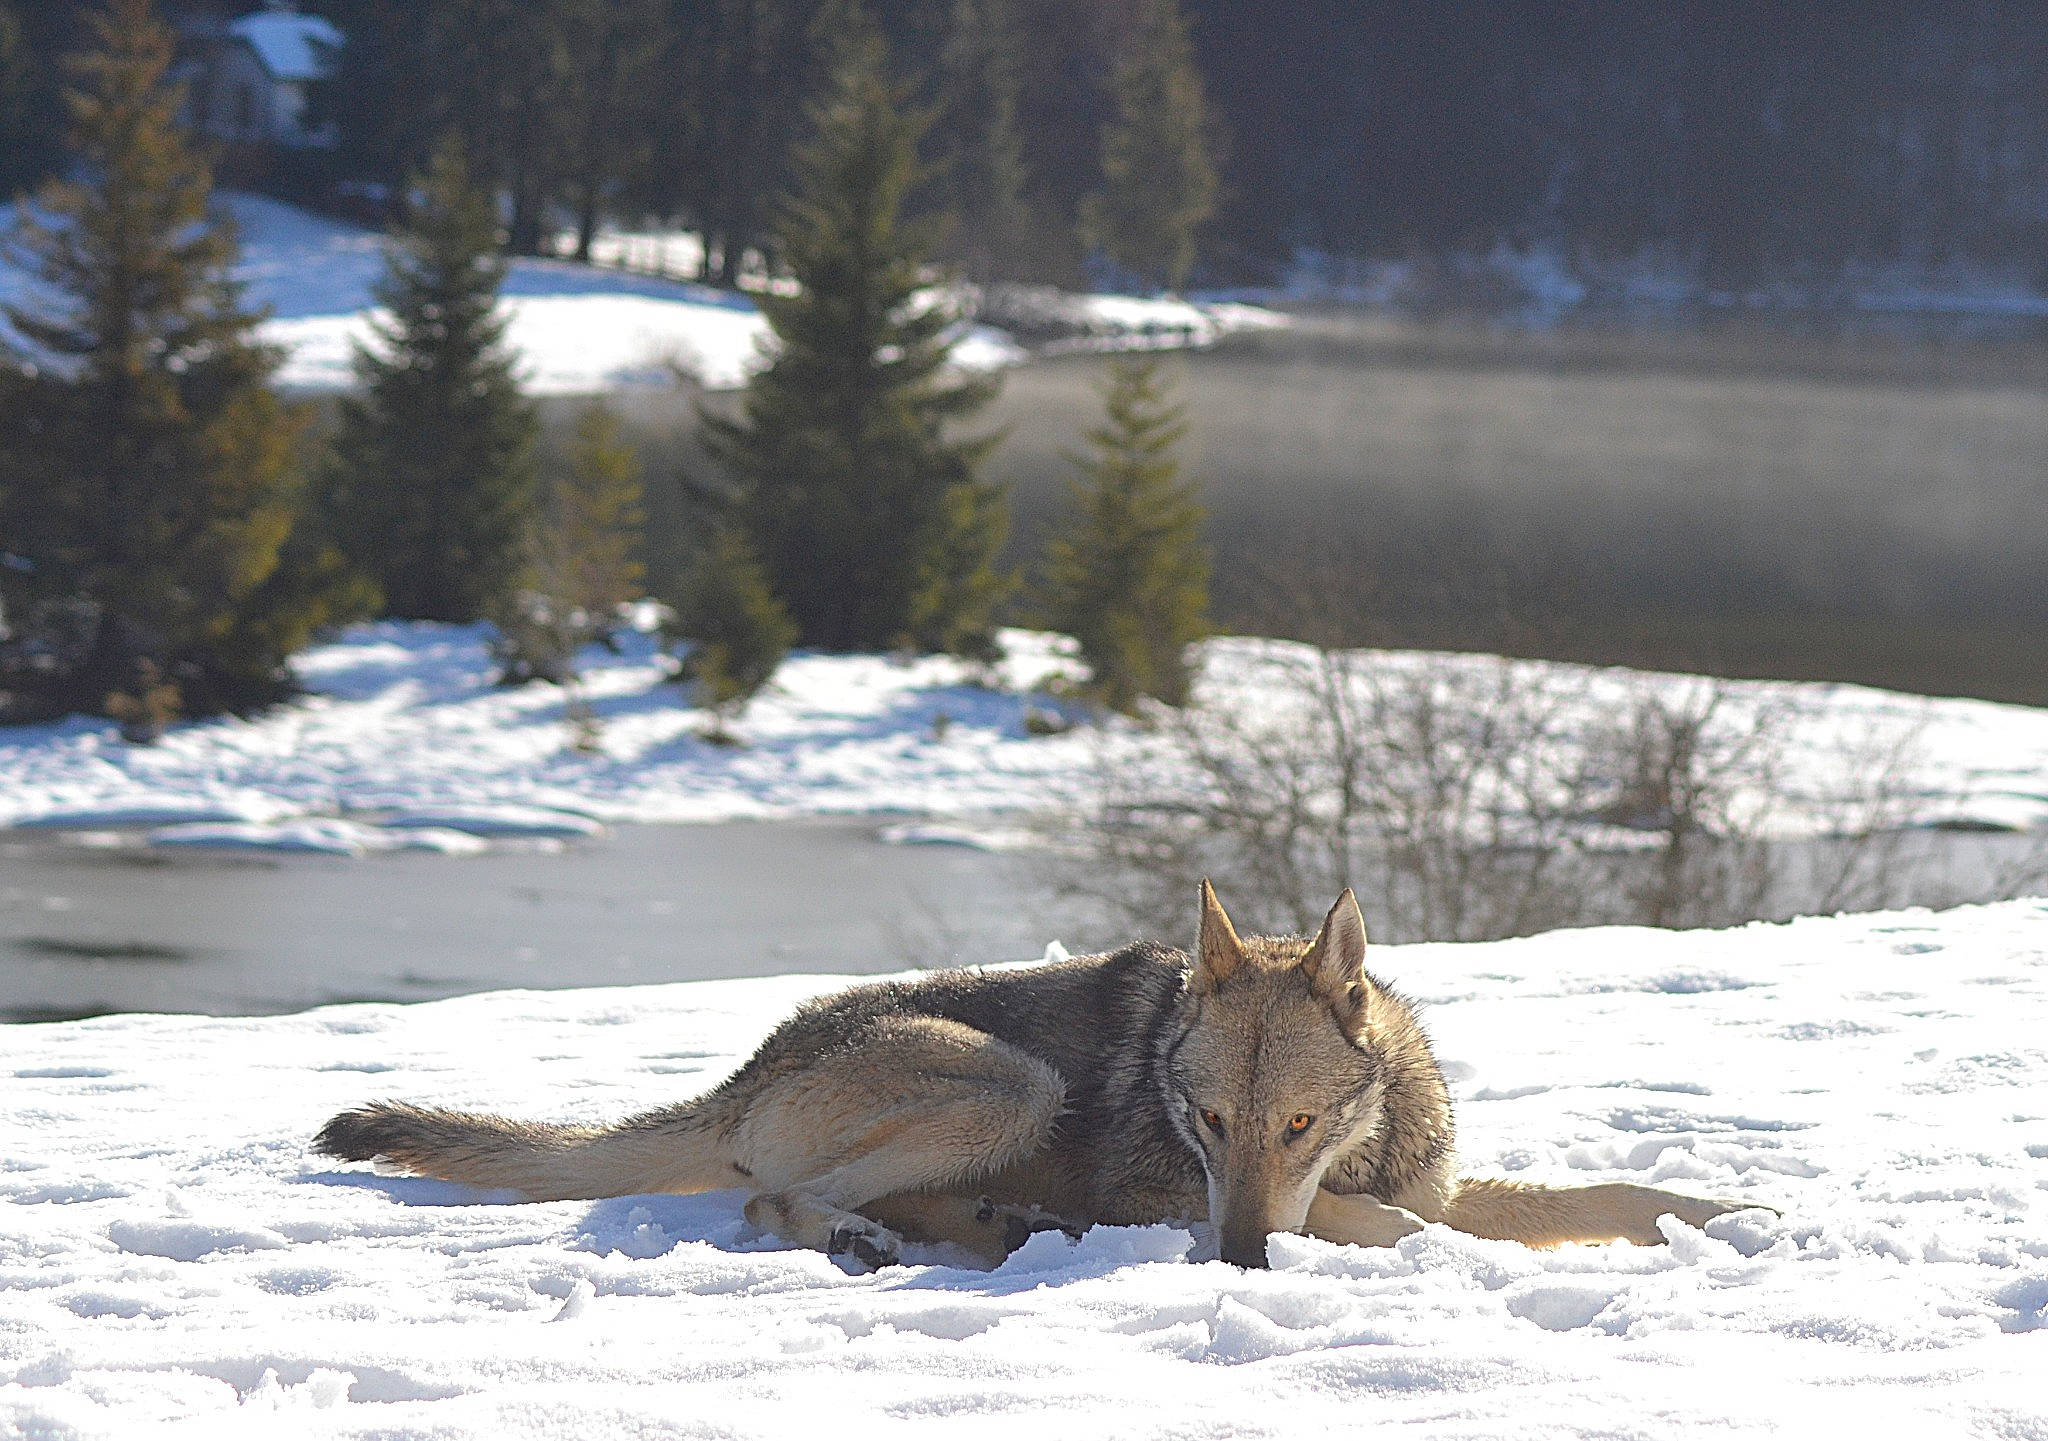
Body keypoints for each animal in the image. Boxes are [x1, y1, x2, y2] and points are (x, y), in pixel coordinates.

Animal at [315, 881, 1762, 1269]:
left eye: (1295, 1120)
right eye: (1206, 1122)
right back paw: (860, 1236)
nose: (1239, 1261)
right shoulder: (1168, 1195)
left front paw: (1738, 1220)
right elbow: (1384, 1223)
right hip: (1007, 1083)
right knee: (765, 1198)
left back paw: (989, 1225)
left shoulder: (1437, 1177)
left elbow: (1615, 1192)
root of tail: (747, 1064)